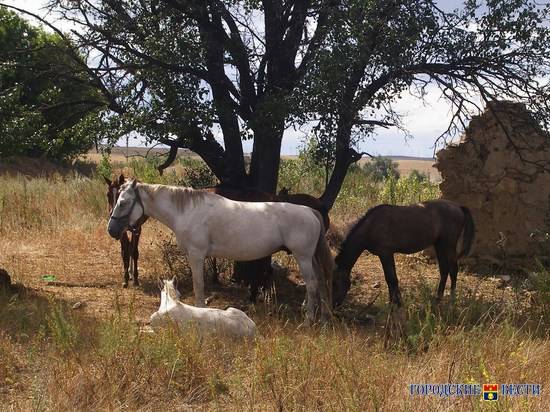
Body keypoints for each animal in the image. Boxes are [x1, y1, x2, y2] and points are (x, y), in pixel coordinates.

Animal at [106, 181, 334, 322]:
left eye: (123, 202)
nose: (112, 230)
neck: (187, 211)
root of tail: (311, 211)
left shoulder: (196, 255)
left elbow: (199, 288)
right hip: (311, 258)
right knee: (322, 282)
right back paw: (323, 318)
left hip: (303, 257)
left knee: (312, 284)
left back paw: (309, 320)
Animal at [334, 198, 476, 308]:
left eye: (333, 283)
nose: (334, 306)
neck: (371, 226)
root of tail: (458, 206)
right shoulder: (386, 254)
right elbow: (390, 279)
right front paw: (394, 301)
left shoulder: (386, 253)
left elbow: (391, 278)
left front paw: (395, 303)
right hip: (439, 245)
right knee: (444, 270)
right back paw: (438, 298)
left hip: (448, 245)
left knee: (453, 269)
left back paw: (452, 299)